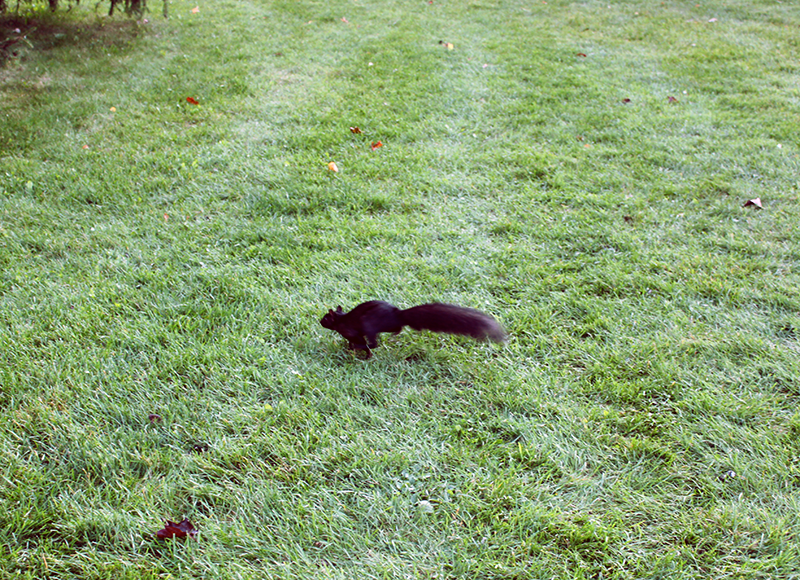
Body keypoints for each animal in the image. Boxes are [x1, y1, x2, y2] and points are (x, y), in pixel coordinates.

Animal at [320, 300, 504, 358]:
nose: (319, 321)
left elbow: (361, 343)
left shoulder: (352, 332)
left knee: (375, 342)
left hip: (370, 324)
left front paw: (358, 350)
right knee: (397, 328)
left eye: (325, 318)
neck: (341, 319)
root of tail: (398, 314)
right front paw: (351, 349)